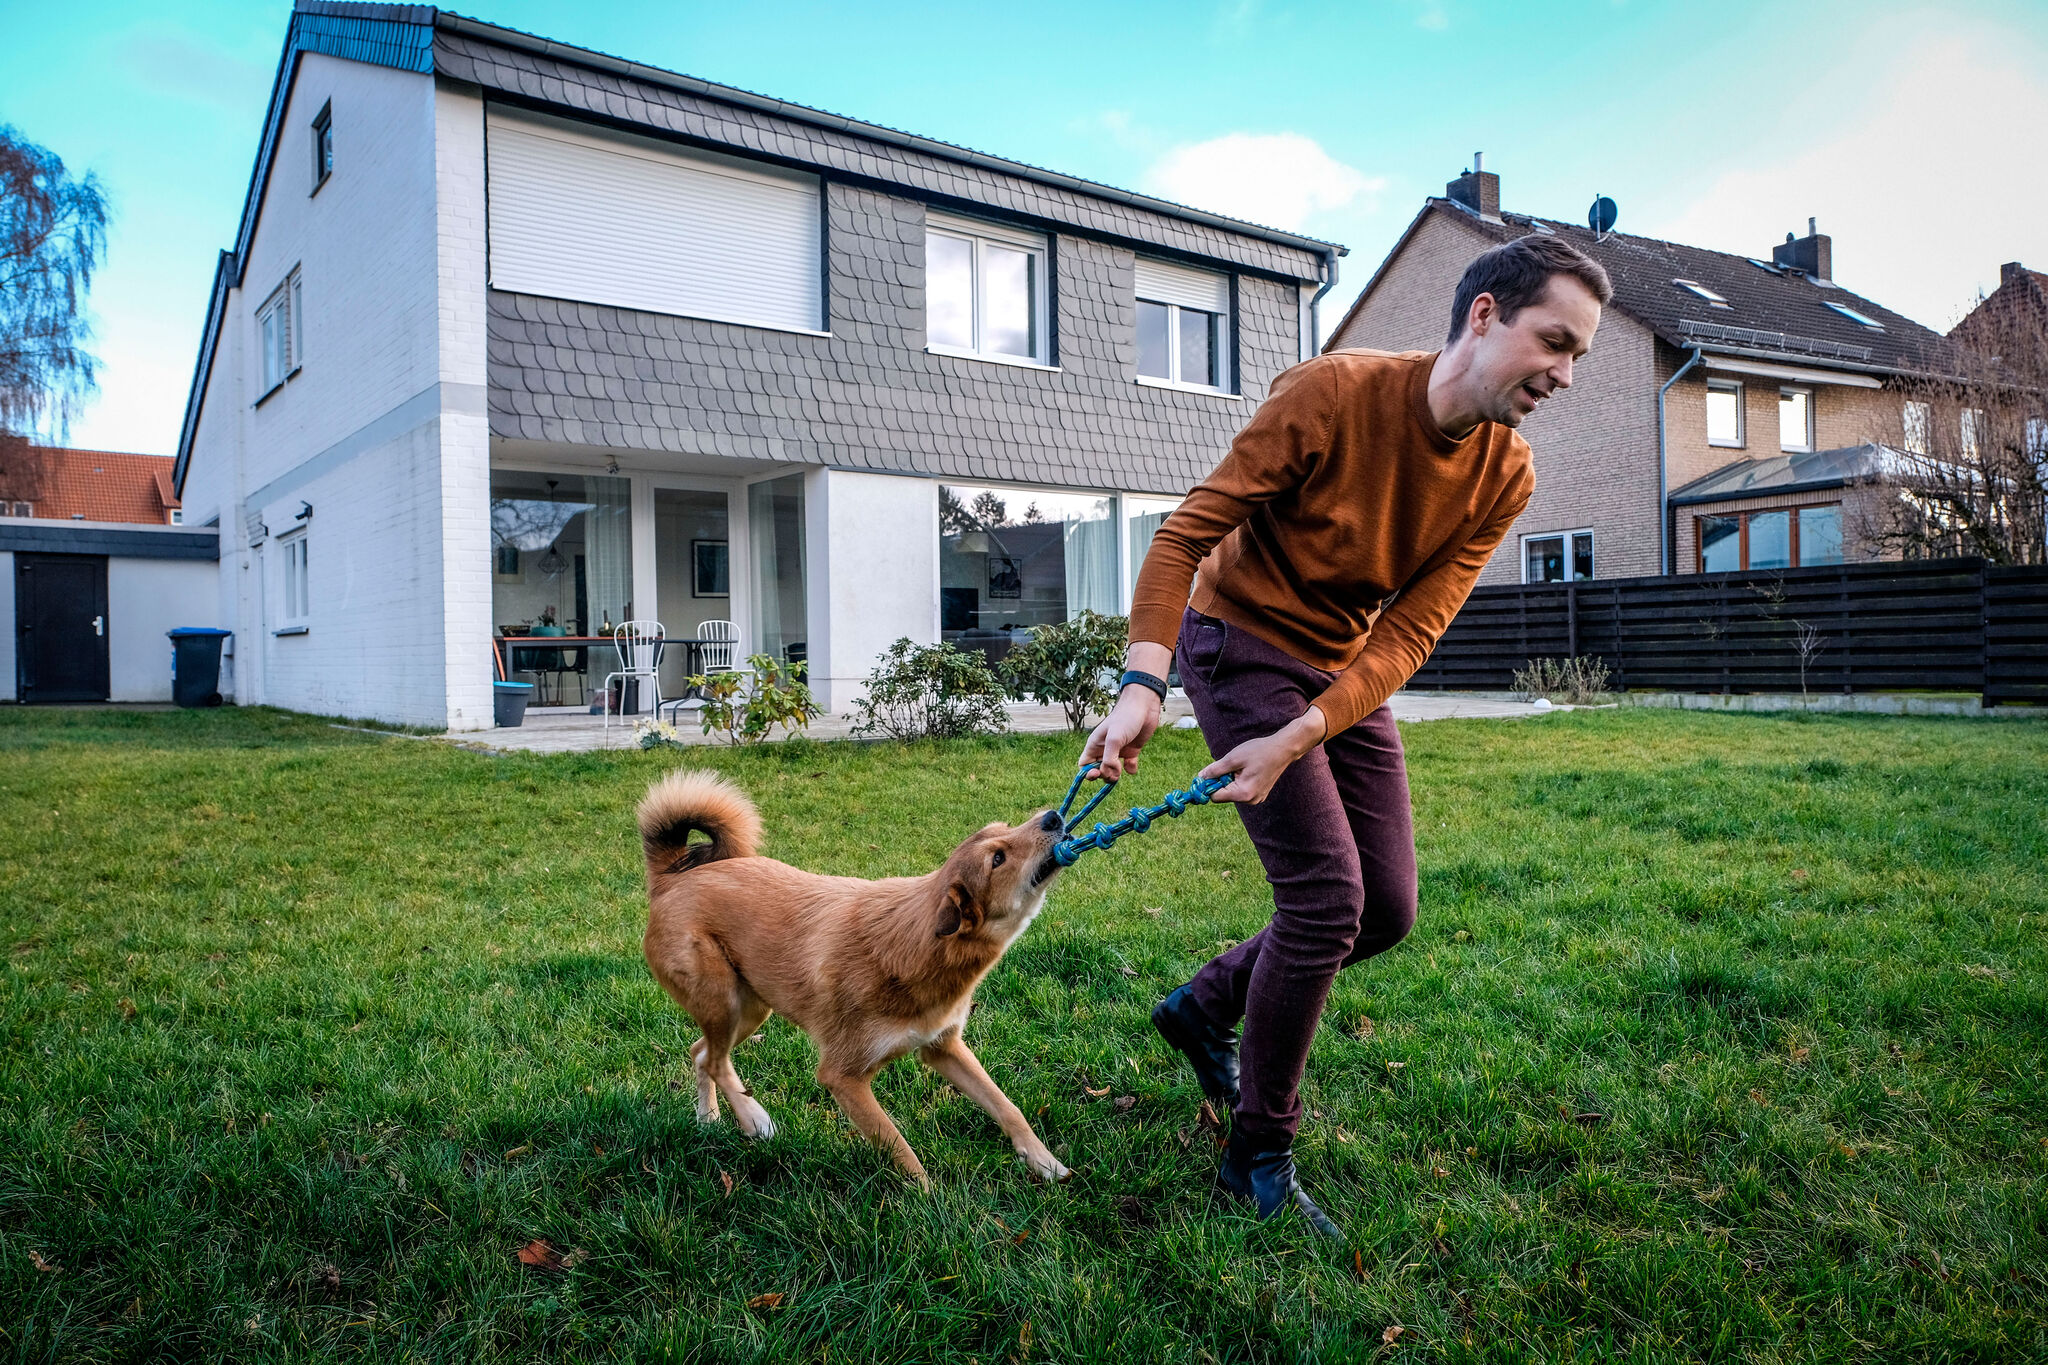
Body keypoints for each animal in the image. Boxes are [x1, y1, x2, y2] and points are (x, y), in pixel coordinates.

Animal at [638, 769, 1073, 1186]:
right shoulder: (842, 1077)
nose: (1054, 817)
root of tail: (671, 880)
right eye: (997, 858)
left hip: (751, 1010)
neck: (919, 944)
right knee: (715, 1061)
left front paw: (1045, 1162)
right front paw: (930, 1200)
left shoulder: (943, 1048)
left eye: (1006, 826)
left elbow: (1007, 1106)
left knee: (701, 1052)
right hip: (724, 1002)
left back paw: (708, 1120)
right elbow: (897, 1145)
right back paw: (753, 1119)